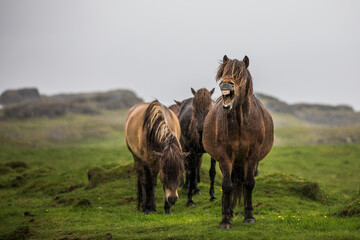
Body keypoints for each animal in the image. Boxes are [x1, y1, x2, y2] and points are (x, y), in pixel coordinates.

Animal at [202, 54, 272, 229]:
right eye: (223, 73)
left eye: (240, 74)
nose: (226, 84)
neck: (241, 122)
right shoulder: (225, 156)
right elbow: (227, 185)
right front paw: (225, 220)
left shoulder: (252, 156)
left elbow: (249, 184)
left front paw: (249, 216)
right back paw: (229, 212)